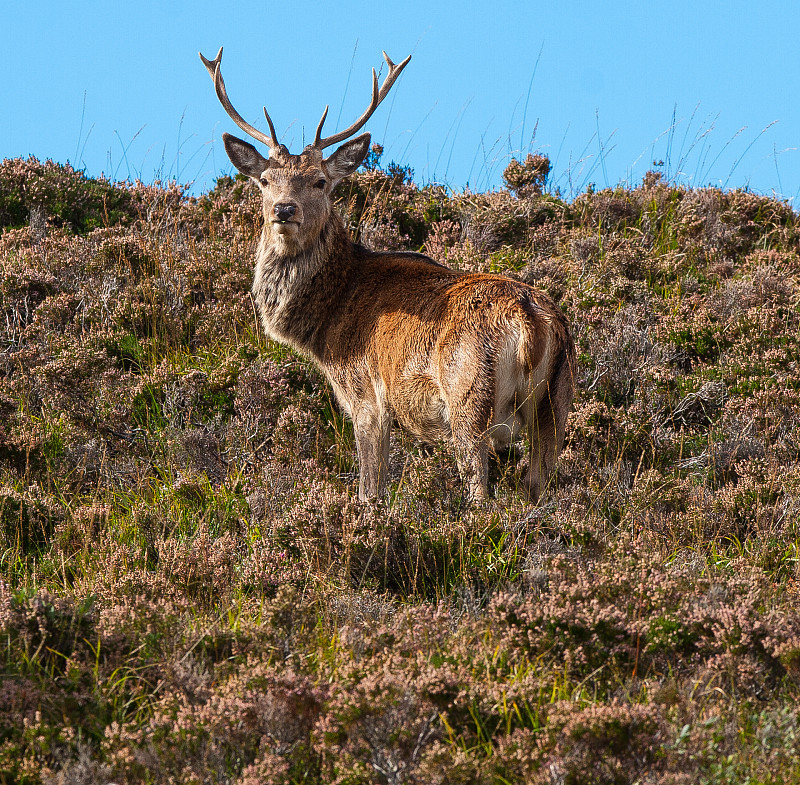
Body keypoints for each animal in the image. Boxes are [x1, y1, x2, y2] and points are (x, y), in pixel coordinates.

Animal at [199, 47, 576, 502]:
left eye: (320, 181)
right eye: (266, 180)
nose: (284, 210)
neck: (326, 322)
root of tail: (531, 319)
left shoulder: (365, 395)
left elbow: (370, 489)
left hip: (468, 395)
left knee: (480, 488)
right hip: (557, 402)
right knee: (539, 486)